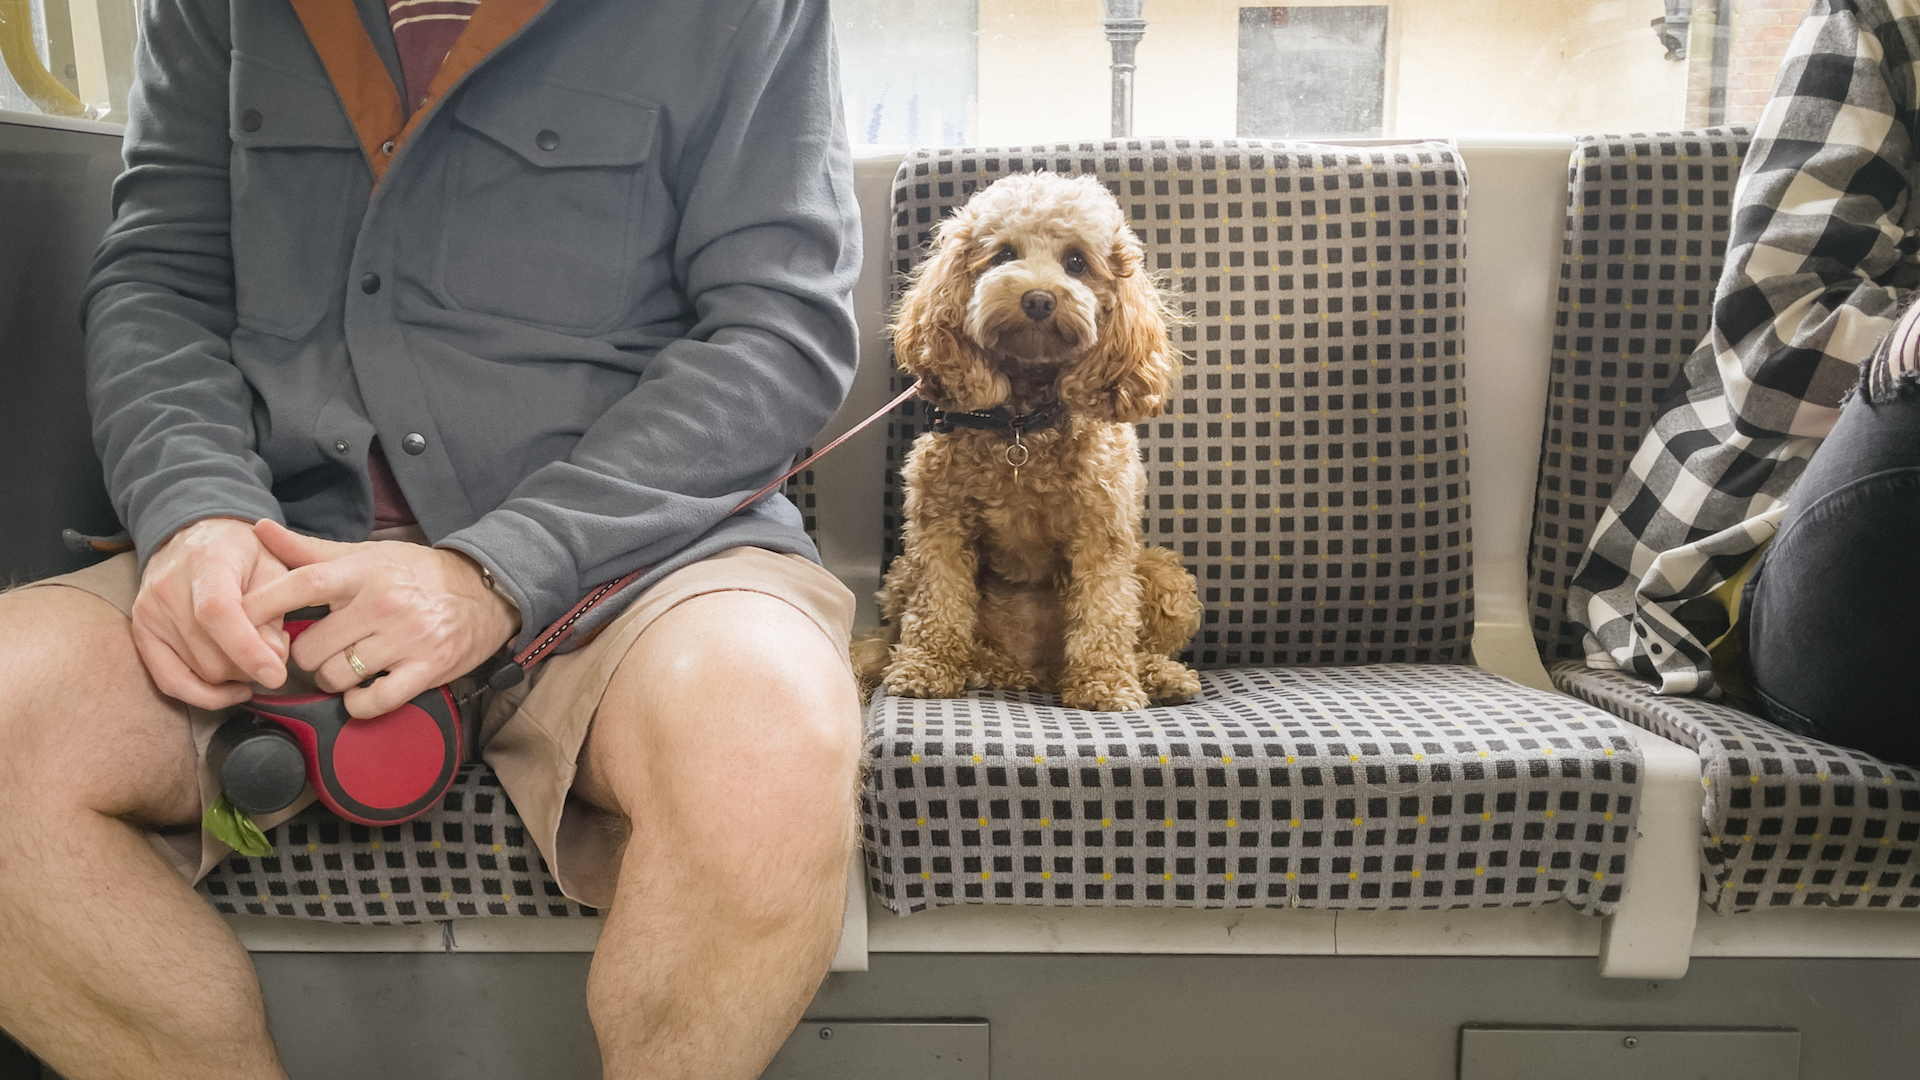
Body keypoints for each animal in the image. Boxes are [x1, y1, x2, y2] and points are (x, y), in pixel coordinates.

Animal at [867, 170, 1205, 707]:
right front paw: (925, 668)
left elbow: (1105, 612)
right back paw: (979, 666)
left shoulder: (1102, 531)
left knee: (1139, 634)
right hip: (901, 574)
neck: (1023, 427)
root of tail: (1034, 670)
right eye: (1004, 254)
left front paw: (1105, 684)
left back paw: (1158, 674)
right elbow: (938, 603)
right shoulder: (939, 524)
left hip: (1163, 574)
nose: (1039, 299)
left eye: (1076, 262)